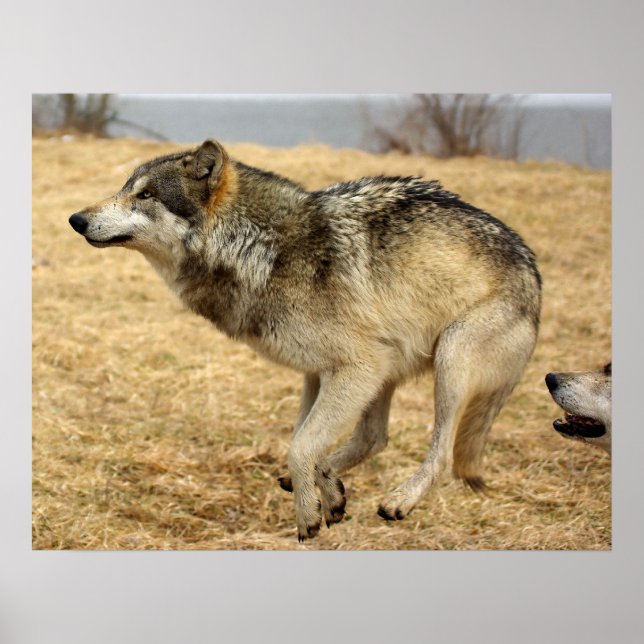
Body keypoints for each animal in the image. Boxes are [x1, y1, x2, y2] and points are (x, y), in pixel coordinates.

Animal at [68, 138, 542, 541]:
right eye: (126, 188)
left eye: (146, 195)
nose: (76, 220)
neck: (262, 249)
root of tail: (534, 276)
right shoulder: (320, 372)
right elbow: (305, 442)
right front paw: (323, 494)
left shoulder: (356, 368)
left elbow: (300, 447)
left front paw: (308, 513)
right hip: (390, 370)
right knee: (375, 438)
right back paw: (332, 479)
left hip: (449, 359)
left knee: (440, 451)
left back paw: (399, 501)